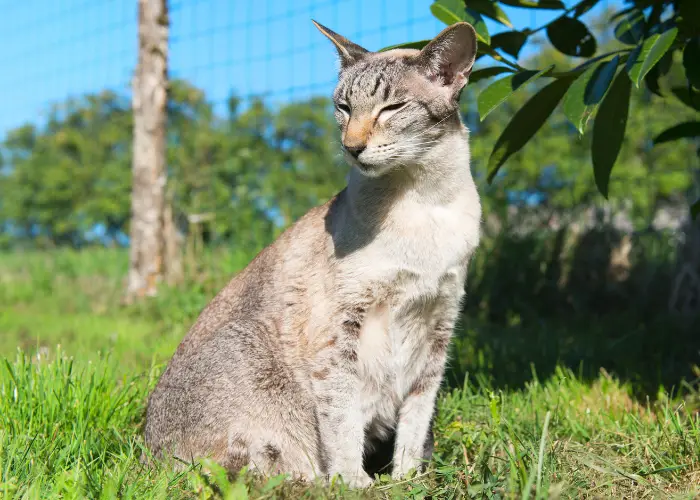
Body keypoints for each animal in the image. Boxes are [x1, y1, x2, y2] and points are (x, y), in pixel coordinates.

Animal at [144, 19, 482, 488]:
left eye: (391, 108)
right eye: (343, 107)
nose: (351, 147)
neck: (424, 204)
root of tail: (145, 460)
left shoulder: (438, 328)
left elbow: (415, 424)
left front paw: (408, 481)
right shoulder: (339, 333)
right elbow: (342, 420)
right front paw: (358, 484)